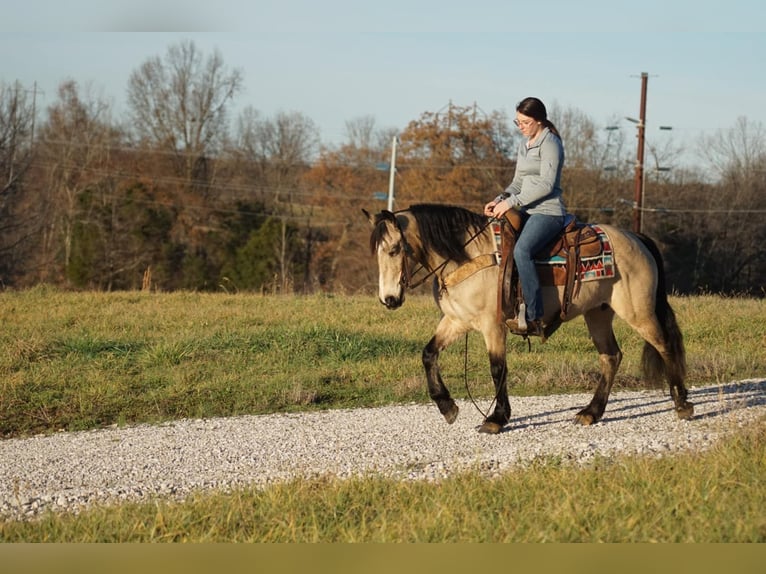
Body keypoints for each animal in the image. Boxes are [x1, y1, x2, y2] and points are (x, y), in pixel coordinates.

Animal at [364, 203, 693, 434]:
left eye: (394, 249)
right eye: (376, 253)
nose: (388, 299)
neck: (467, 256)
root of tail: (637, 238)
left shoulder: (492, 326)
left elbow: (498, 369)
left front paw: (496, 418)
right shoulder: (456, 321)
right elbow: (428, 354)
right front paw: (447, 407)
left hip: (639, 312)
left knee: (664, 345)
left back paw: (682, 404)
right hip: (598, 314)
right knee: (611, 357)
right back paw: (591, 412)